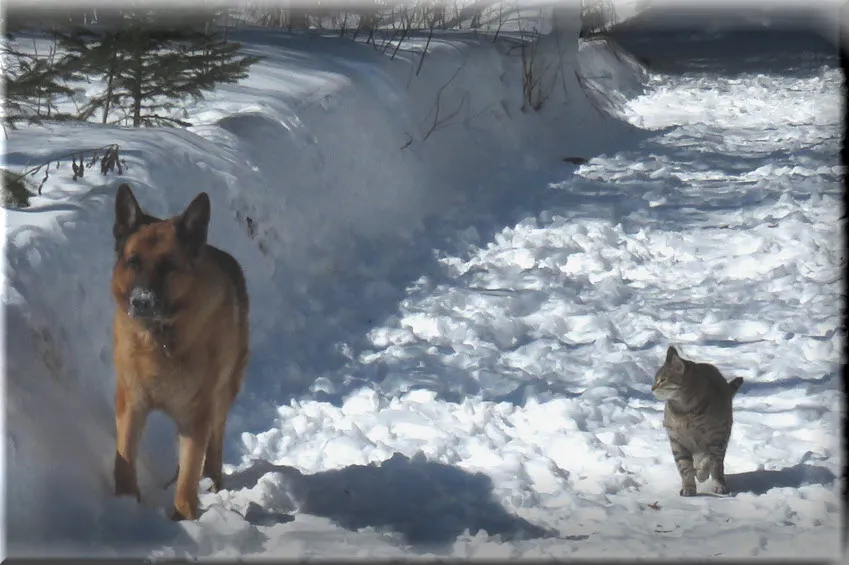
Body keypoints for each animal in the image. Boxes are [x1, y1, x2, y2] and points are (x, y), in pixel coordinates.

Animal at [110, 185, 248, 520]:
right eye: (133, 262)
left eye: (168, 266)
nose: (141, 302)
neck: (159, 336)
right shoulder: (131, 405)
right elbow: (124, 458)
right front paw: (125, 502)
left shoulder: (197, 413)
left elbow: (189, 474)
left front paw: (185, 516)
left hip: (221, 396)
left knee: (214, 441)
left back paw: (211, 480)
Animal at [648, 344, 744, 494]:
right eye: (656, 379)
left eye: (662, 380)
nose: (652, 388)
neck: (686, 411)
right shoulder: (677, 441)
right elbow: (684, 466)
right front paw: (688, 487)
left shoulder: (717, 438)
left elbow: (710, 460)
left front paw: (704, 475)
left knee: (716, 465)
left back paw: (715, 482)